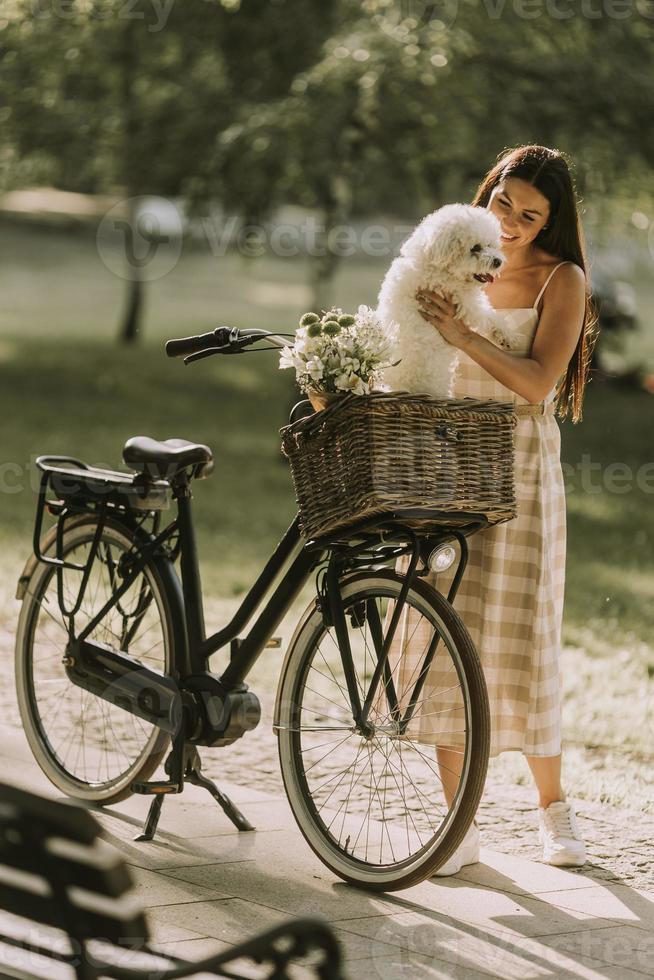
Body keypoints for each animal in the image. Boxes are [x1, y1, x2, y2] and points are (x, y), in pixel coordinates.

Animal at [380, 203, 512, 398]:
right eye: (475, 248)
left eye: (490, 244)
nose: (498, 261)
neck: (433, 263)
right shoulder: (463, 301)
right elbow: (489, 317)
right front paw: (507, 336)